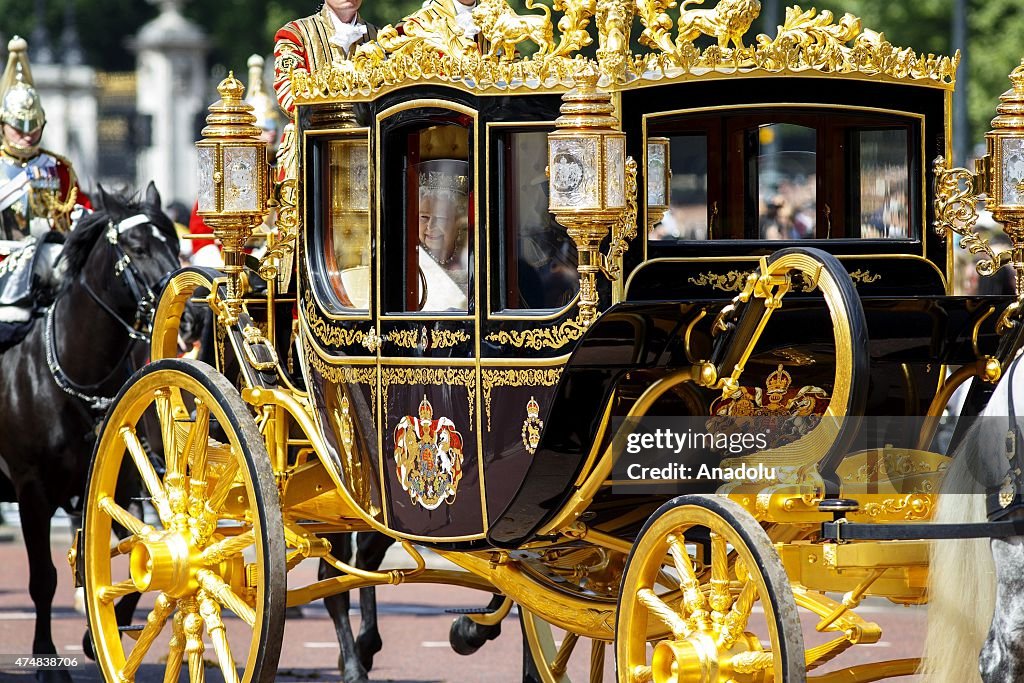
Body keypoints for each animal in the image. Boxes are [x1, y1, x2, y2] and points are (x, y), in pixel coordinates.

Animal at [0, 183, 180, 683]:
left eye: (175, 242)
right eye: (138, 247)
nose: (186, 307)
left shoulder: (116, 485)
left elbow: (132, 556)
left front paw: (97, 635)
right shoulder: (32, 490)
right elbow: (43, 578)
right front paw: (47, 659)